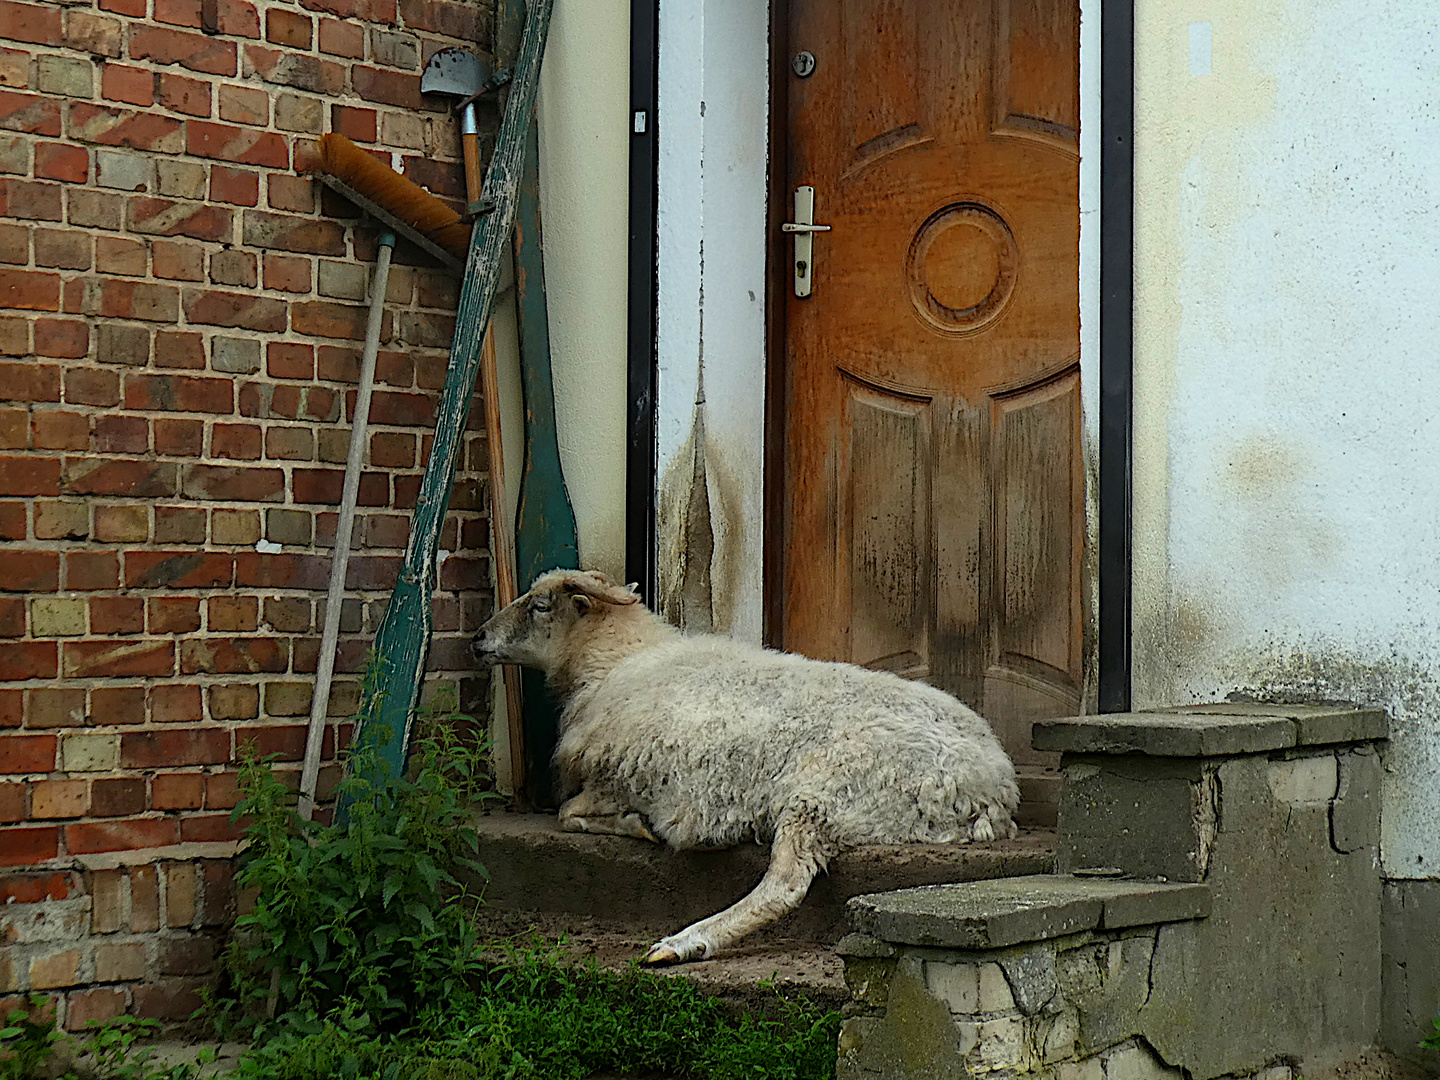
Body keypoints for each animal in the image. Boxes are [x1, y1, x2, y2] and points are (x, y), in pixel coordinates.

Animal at [466, 570, 1019, 967]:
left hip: (820, 797)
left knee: (784, 887)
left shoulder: (617, 779)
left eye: (539, 605)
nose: (476, 638)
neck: (616, 662)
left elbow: (569, 813)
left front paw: (638, 827)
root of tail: (993, 788)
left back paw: (684, 943)